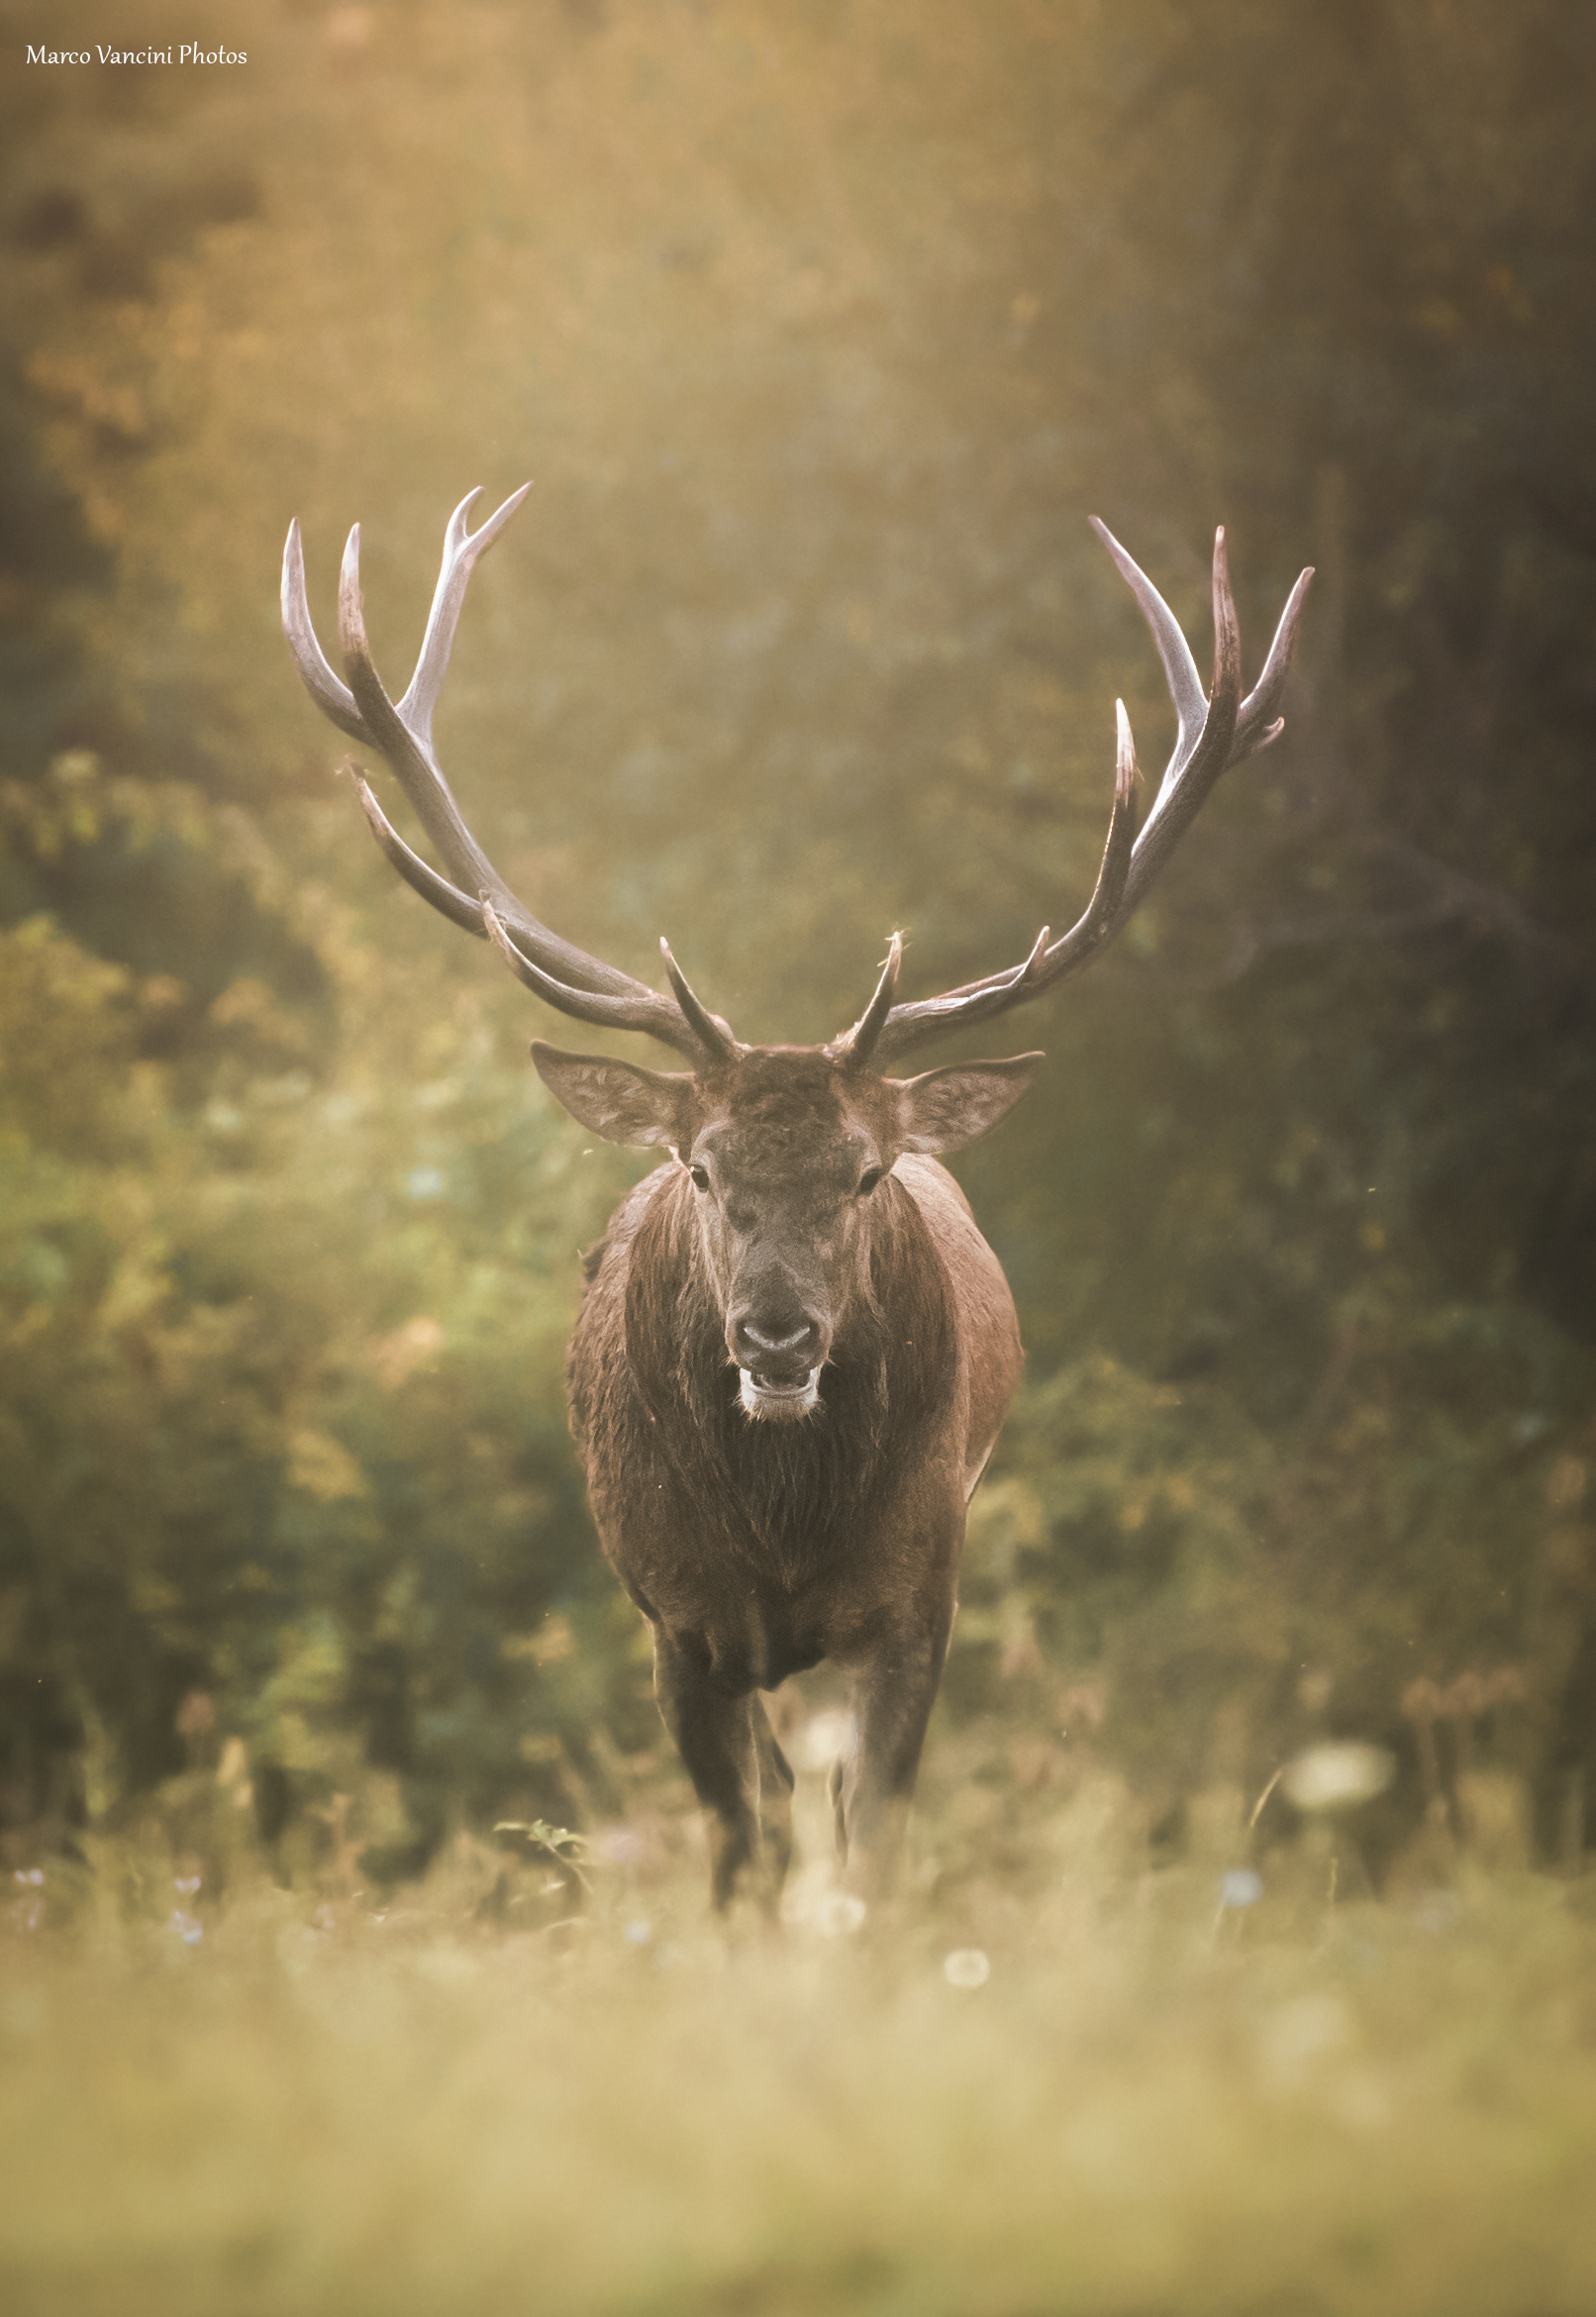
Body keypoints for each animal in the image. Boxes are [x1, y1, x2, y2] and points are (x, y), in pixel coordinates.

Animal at [282, 487, 1311, 1913]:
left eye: (865, 1173)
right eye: (702, 1169)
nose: (776, 1335)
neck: (780, 1533)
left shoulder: (920, 1594)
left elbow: (872, 1842)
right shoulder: (677, 1616)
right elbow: (736, 1857)